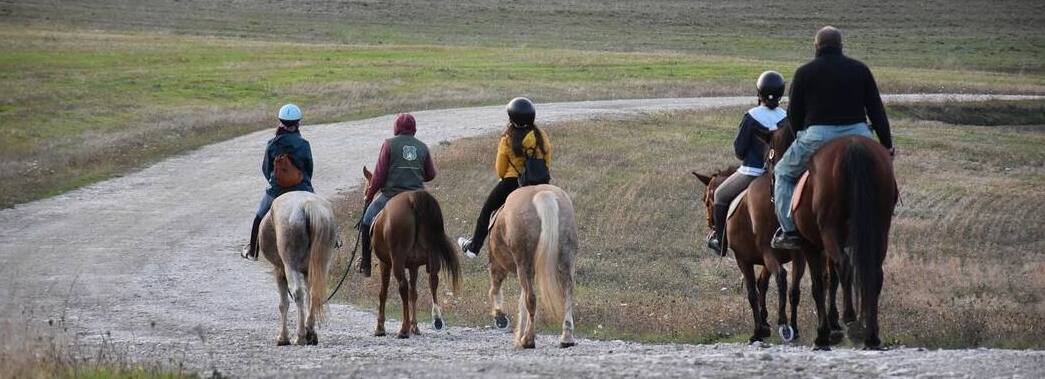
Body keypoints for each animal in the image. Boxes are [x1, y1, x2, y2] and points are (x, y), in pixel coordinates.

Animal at [258, 191, 336, 346]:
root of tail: (308, 205)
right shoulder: (307, 272)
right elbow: (308, 298)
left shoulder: (279, 271)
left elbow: (283, 304)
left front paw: (283, 338)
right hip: (322, 265)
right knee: (313, 294)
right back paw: (310, 333)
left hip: (290, 266)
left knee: (298, 294)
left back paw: (300, 336)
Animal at [363, 168, 461, 340]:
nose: (365, 196)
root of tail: (412, 199)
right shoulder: (414, 265)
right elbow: (414, 293)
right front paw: (415, 326)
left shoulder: (385, 263)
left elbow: (383, 292)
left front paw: (380, 327)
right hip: (432, 258)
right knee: (432, 281)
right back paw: (436, 319)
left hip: (397, 261)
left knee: (402, 287)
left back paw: (404, 329)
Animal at [486, 184, 581, 350]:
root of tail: (543, 194)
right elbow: (521, 300)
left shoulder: (499, 265)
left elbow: (496, 289)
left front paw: (500, 317)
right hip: (566, 258)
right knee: (568, 292)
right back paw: (566, 337)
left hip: (522, 263)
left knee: (530, 298)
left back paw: (528, 340)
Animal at [693, 168, 806, 346]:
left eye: (705, 200)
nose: (711, 225)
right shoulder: (769, 259)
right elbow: (762, 284)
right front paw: (765, 322)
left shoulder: (743, 259)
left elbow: (752, 292)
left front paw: (758, 331)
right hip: (798, 255)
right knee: (794, 290)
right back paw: (794, 328)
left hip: (769, 250)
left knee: (781, 276)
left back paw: (784, 324)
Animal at [760, 122, 898, 350]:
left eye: (769, 158)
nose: (770, 189)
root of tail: (853, 146)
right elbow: (832, 280)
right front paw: (835, 326)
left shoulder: (811, 245)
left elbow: (819, 284)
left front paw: (825, 333)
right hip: (878, 230)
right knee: (873, 273)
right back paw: (871, 334)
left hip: (830, 230)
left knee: (844, 267)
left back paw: (851, 322)